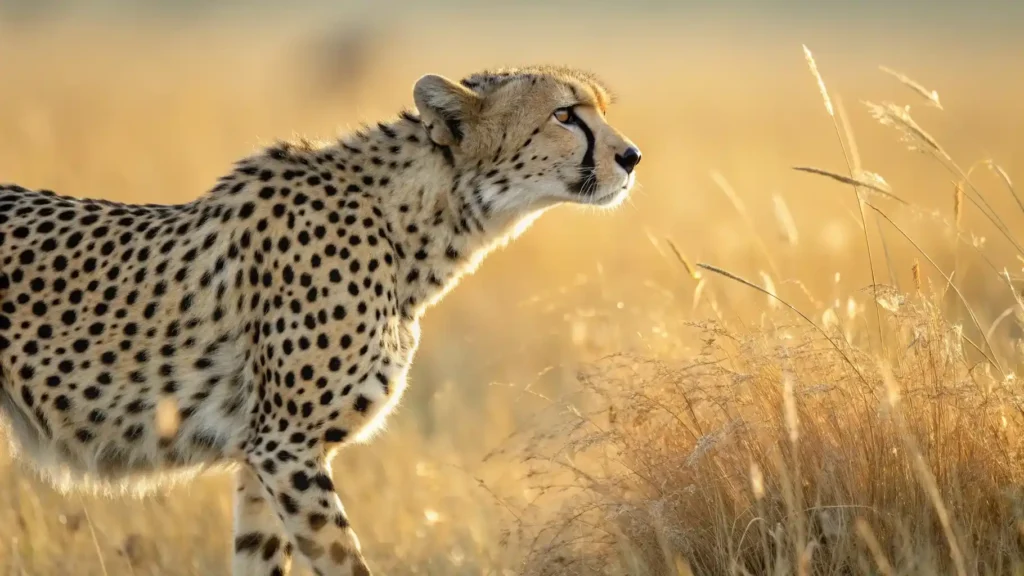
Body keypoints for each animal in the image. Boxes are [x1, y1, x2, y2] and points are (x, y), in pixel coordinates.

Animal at [0, 65, 642, 575]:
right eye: (565, 115)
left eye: (599, 111)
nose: (632, 157)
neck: (415, 224)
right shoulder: (286, 446)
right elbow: (344, 561)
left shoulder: (261, 454)